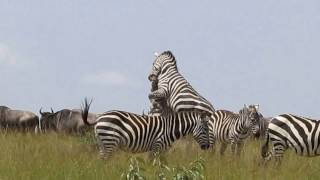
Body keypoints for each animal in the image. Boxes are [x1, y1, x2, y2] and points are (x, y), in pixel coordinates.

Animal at [80, 98, 210, 159]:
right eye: (205, 129)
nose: (207, 147)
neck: (170, 128)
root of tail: (99, 117)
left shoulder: (161, 149)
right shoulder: (157, 146)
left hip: (102, 142)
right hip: (110, 141)